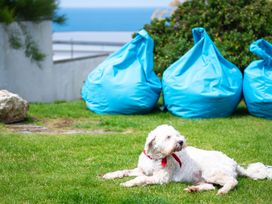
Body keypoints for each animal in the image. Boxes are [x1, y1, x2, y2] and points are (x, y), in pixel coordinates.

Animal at [102, 124, 272, 194]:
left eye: (177, 134)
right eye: (168, 136)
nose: (181, 142)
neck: (156, 157)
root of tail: (234, 162)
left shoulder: (161, 178)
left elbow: (141, 179)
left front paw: (128, 183)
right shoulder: (141, 170)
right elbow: (124, 171)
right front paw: (109, 175)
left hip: (212, 172)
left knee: (232, 182)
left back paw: (223, 191)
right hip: (203, 178)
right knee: (210, 186)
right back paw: (194, 189)